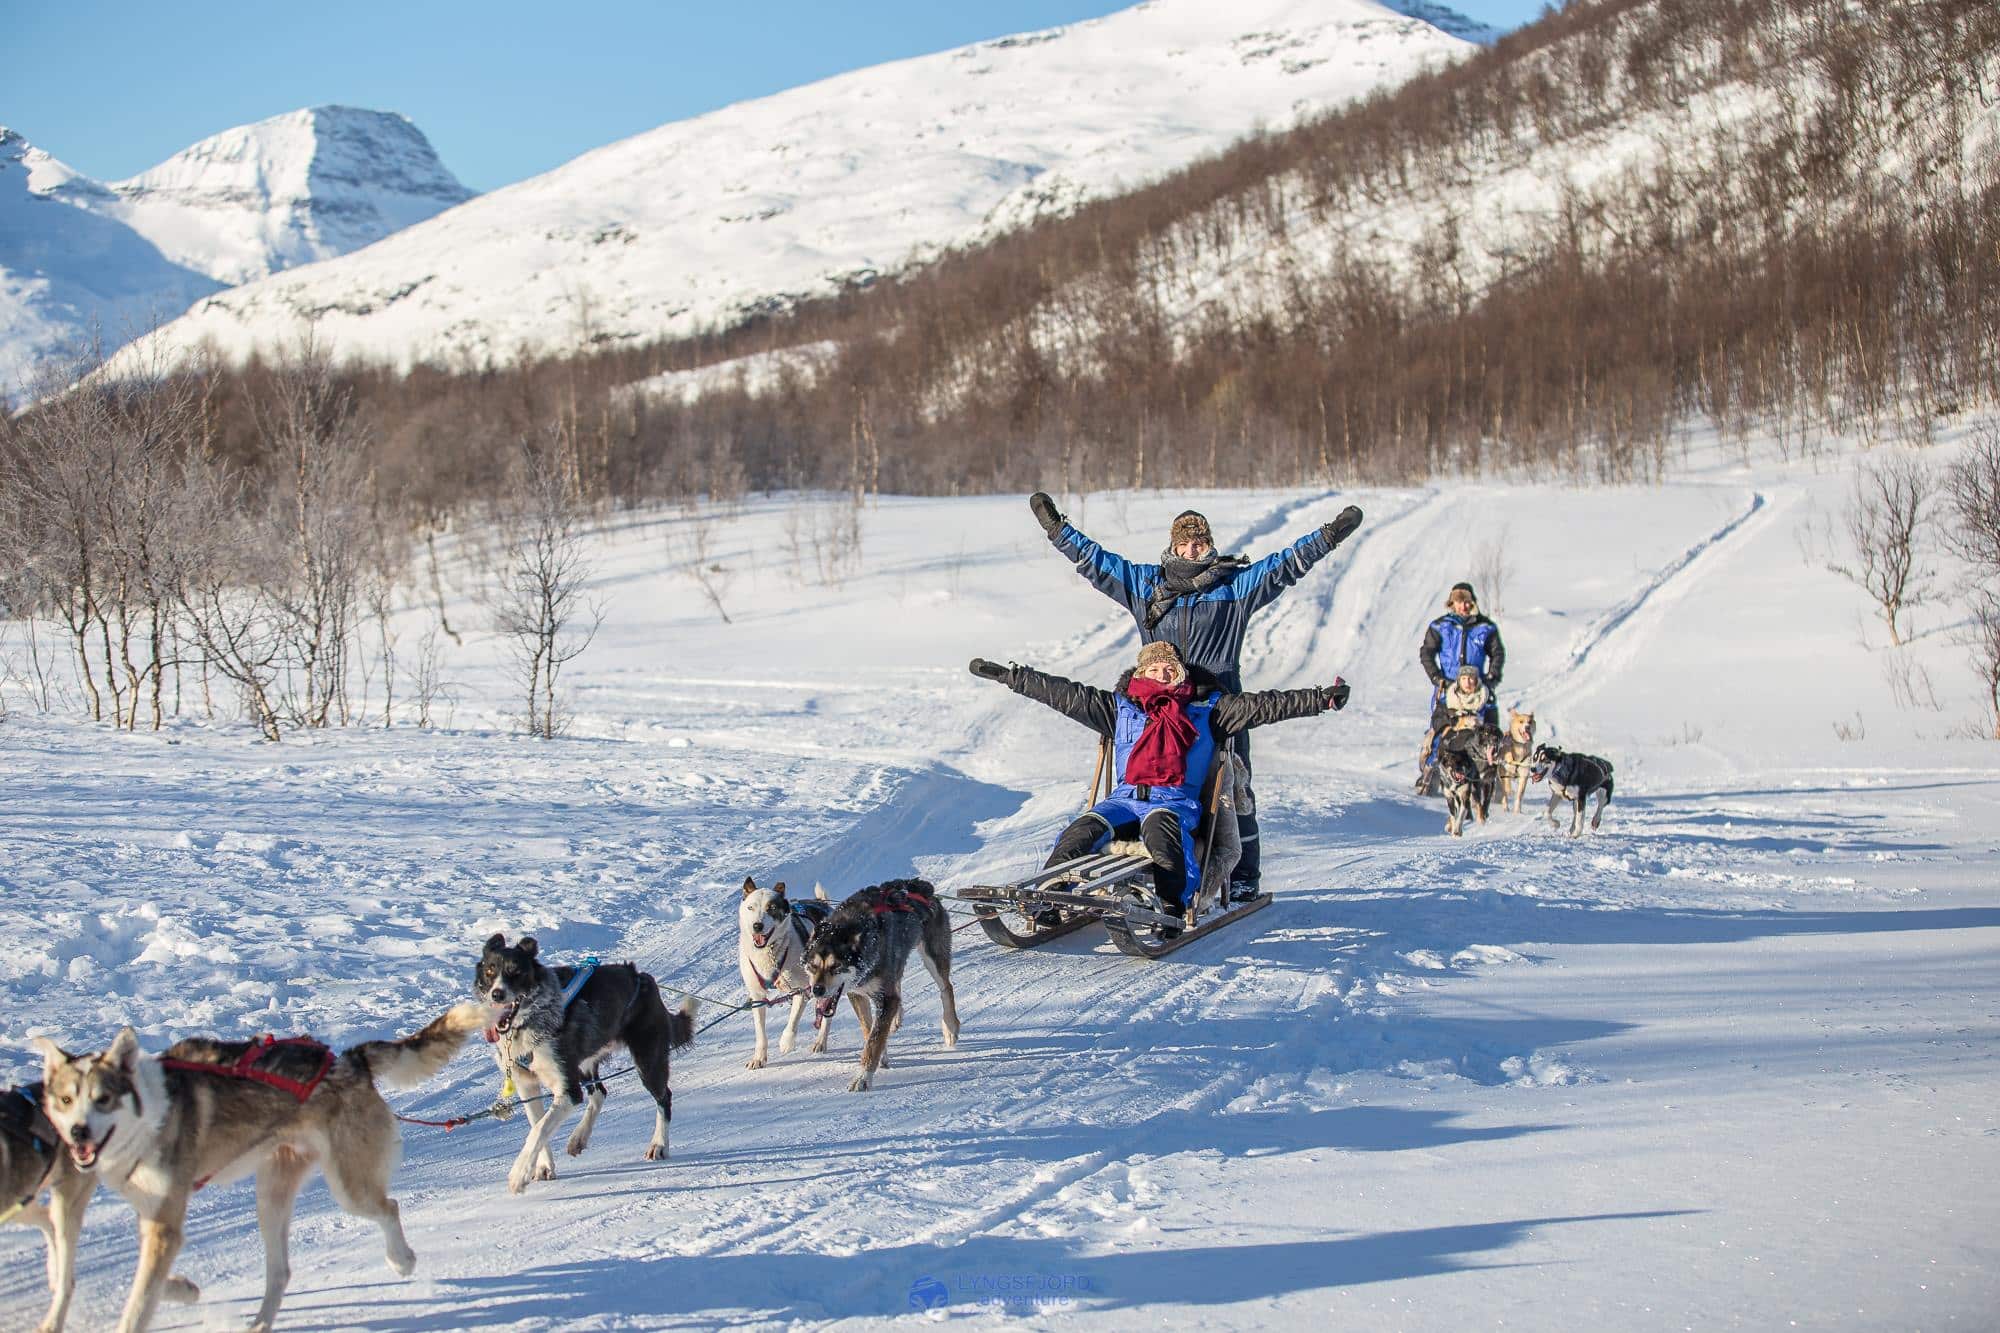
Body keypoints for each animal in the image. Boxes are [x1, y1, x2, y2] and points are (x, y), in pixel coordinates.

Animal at [34, 1008, 484, 1328]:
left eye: (103, 1098)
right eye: (66, 1099)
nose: (78, 1132)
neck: (148, 1117)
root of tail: (349, 1060)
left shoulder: (164, 1225)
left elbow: (139, 1302)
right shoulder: (154, 1219)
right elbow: (143, 1282)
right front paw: (182, 1288)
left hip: (348, 1187)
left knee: (389, 1208)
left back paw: (401, 1260)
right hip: (271, 1195)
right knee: (280, 1271)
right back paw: (261, 1323)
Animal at [474, 928, 696, 1184]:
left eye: (515, 972)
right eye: (490, 971)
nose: (497, 994)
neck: (525, 1023)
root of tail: (641, 976)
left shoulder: (568, 1090)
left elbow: (539, 1129)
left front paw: (519, 1174)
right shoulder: (526, 1084)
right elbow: (537, 1125)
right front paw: (543, 1166)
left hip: (647, 1060)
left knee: (663, 1097)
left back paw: (658, 1144)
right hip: (584, 1063)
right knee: (599, 1092)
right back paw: (578, 1138)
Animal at [740, 872, 840, 1072]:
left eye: (771, 908)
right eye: (750, 907)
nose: (757, 925)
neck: (769, 952)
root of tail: (823, 904)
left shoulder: (801, 990)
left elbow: (792, 1021)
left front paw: (786, 1042)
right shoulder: (757, 996)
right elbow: (760, 1032)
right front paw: (759, 1057)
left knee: (827, 1014)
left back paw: (820, 1041)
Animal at [800, 876, 956, 1088]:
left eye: (836, 966)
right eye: (813, 966)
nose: (817, 990)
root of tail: (919, 885)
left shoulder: (886, 998)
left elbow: (874, 1040)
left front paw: (863, 1078)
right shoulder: (857, 993)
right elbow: (870, 1031)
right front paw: (881, 1055)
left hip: (932, 956)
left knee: (946, 988)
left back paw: (950, 1027)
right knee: (898, 986)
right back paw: (896, 1019)